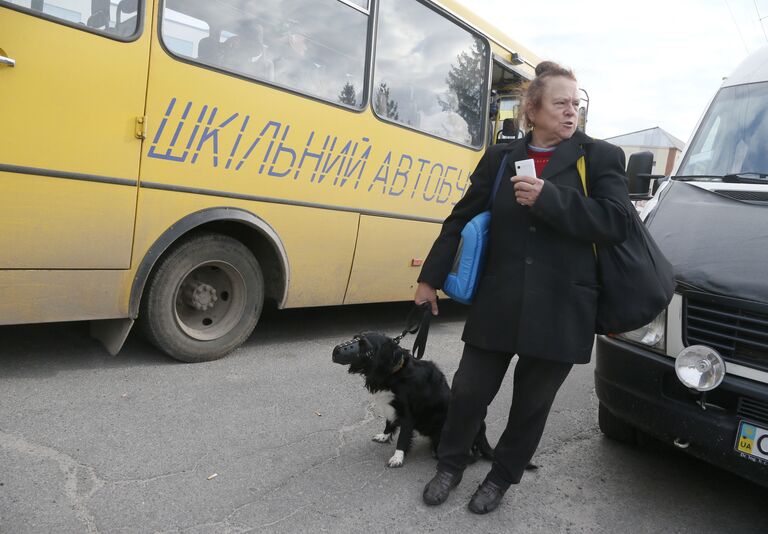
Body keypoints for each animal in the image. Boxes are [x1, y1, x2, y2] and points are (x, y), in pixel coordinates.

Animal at [332, 332, 492, 466]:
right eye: (355, 338)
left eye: (363, 344)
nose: (335, 351)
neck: (395, 373)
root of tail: (481, 431)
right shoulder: (392, 406)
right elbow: (389, 423)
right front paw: (384, 436)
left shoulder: (408, 413)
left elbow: (403, 437)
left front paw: (397, 457)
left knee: (471, 456)